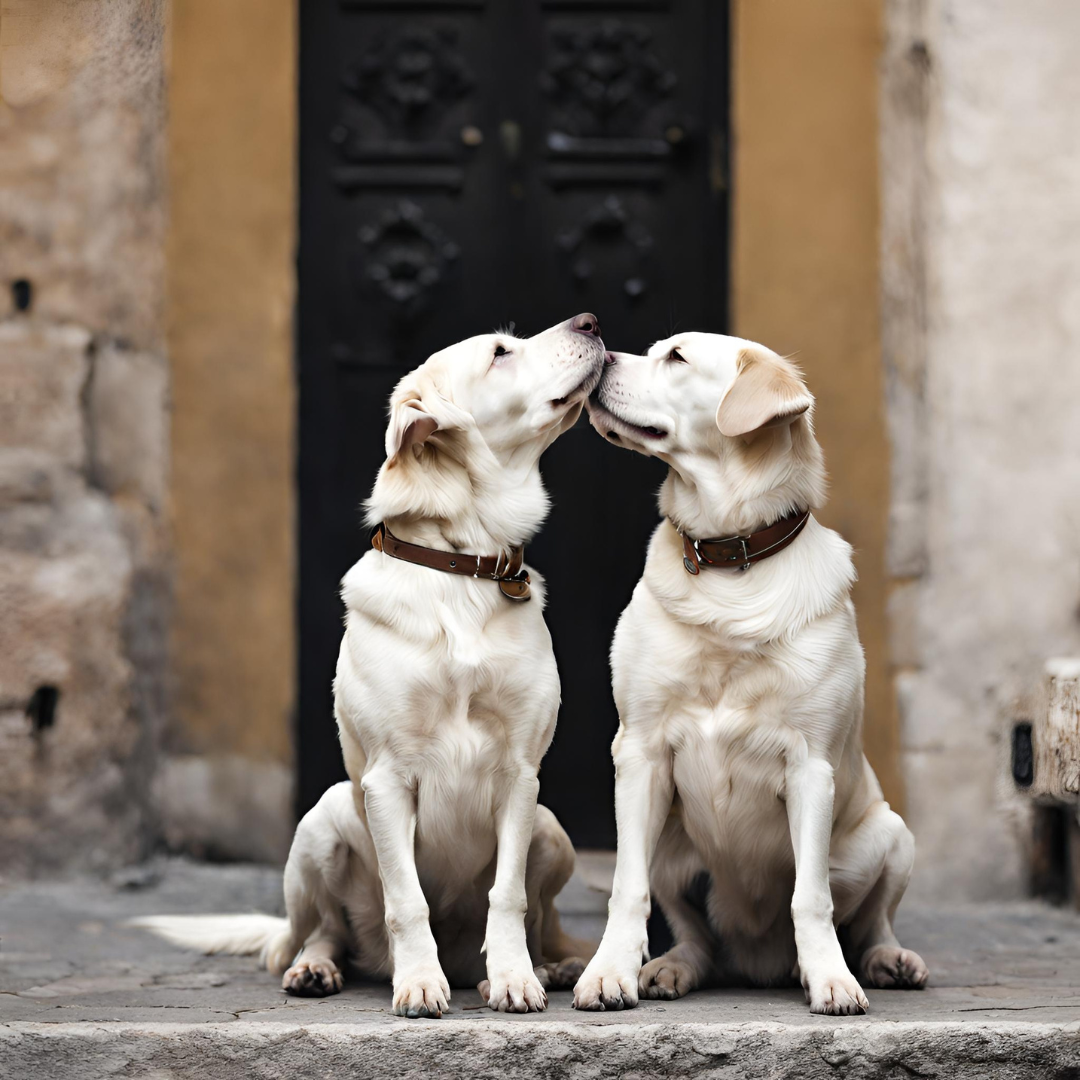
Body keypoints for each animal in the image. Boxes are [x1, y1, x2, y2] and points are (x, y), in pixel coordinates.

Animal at [135, 315, 604, 1015]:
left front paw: (516, 978)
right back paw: (316, 969)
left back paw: (545, 966)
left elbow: (509, 896)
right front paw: (419, 982)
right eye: (500, 352)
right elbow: (406, 899)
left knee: (536, 922)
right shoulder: (386, 779)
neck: (462, 568)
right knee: (321, 933)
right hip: (324, 818)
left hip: (552, 830)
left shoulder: (522, 775)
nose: (592, 323)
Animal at [574, 332, 928, 1015]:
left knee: (872, 920)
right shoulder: (640, 751)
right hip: (673, 851)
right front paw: (609, 972)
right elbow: (627, 889)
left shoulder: (811, 765)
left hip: (890, 835)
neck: (726, 559)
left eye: (676, 357)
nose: (599, 349)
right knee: (694, 934)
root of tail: (757, 960)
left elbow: (810, 898)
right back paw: (672, 967)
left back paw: (884, 960)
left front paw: (831, 979)